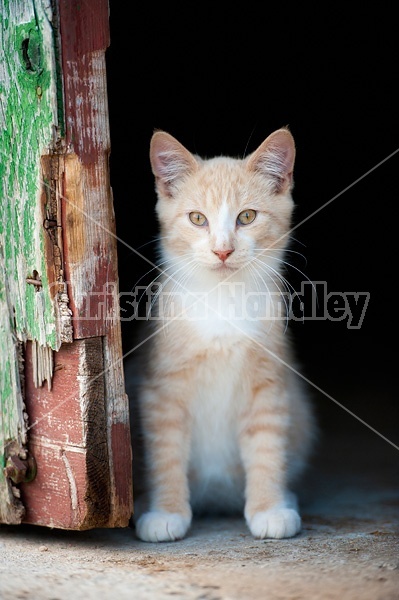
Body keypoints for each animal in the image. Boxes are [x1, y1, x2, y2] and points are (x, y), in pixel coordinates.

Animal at [126, 127, 318, 544]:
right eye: (198, 218)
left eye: (247, 216)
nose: (223, 250)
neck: (222, 298)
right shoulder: (160, 387)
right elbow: (165, 452)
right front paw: (165, 511)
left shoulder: (270, 383)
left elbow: (267, 445)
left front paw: (269, 508)